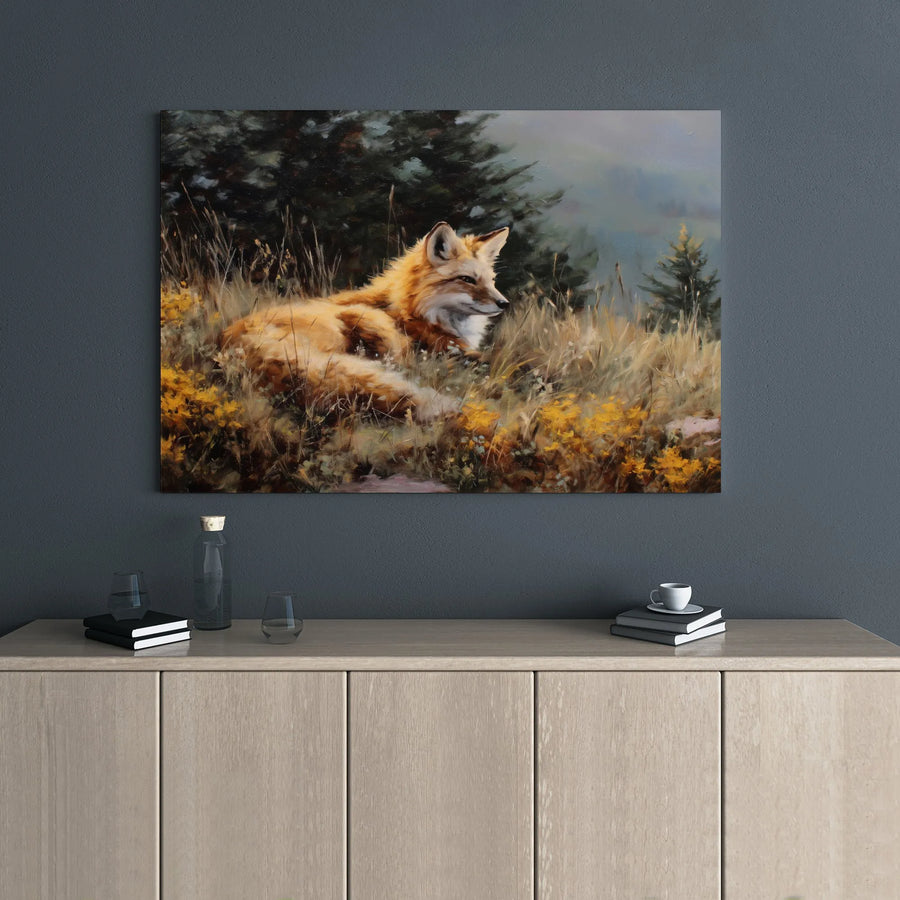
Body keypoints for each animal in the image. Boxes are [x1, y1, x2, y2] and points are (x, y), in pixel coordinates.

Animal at [220, 221, 510, 421]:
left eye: (491, 281)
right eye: (467, 279)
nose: (504, 303)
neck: (412, 311)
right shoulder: (445, 348)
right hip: (369, 323)